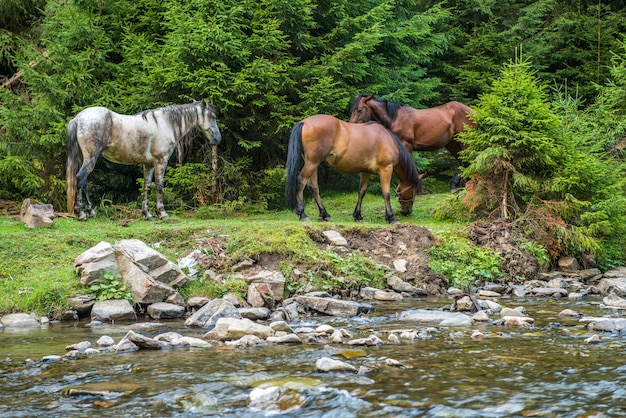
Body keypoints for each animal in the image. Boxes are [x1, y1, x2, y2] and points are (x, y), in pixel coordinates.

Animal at [66, 100, 221, 220]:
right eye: (212, 116)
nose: (218, 139)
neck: (165, 124)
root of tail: (79, 118)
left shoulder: (148, 165)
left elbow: (147, 187)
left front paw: (147, 214)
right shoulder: (160, 161)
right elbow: (159, 186)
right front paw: (162, 213)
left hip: (86, 159)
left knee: (84, 182)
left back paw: (90, 212)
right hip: (91, 158)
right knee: (80, 178)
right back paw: (81, 214)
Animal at [284, 114, 422, 224]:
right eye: (414, 191)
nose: (407, 211)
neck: (387, 139)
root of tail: (304, 122)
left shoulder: (366, 171)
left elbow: (361, 191)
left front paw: (358, 215)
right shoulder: (386, 169)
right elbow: (386, 193)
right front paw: (391, 217)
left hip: (313, 164)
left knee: (313, 187)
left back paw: (324, 214)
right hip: (312, 163)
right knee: (301, 181)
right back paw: (302, 214)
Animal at [348, 94, 476, 192]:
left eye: (359, 110)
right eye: (351, 110)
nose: (351, 128)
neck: (395, 119)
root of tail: (472, 111)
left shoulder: (406, 145)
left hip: (464, 142)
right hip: (452, 143)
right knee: (462, 161)